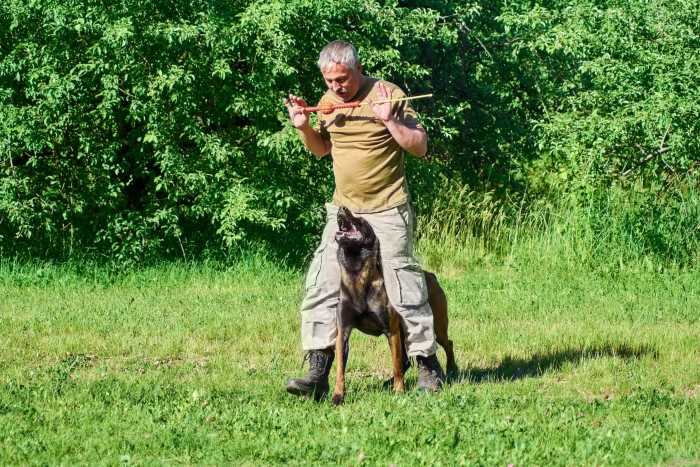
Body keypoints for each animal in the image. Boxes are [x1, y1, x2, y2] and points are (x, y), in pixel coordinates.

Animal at [330, 207, 456, 404]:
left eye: (361, 221)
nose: (342, 208)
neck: (358, 277)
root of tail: (431, 276)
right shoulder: (343, 332)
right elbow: (340, 369)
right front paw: (338, 395)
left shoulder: (392, 331)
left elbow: (396, 363)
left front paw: (399, 392)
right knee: (407, 359)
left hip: (436, 325)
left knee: (446, 343)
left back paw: (451, 369)